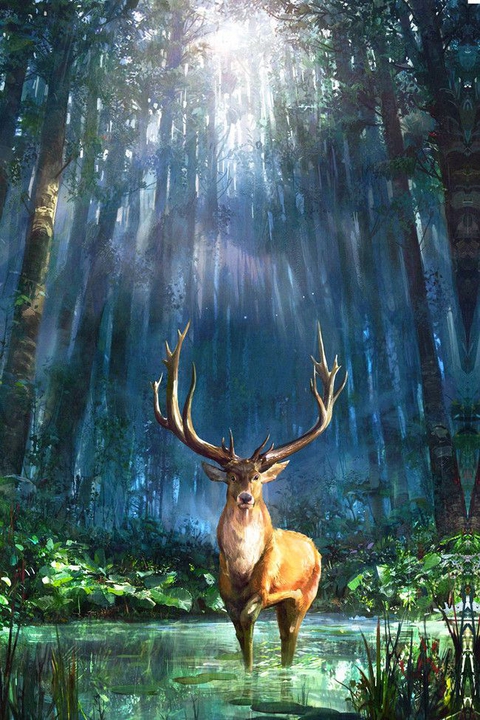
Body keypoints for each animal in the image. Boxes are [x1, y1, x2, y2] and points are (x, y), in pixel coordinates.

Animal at [152, 322, 347, 670]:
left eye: (255, 476)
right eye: (231, 476)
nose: (244, 498)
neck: (242, 568)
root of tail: (313, 547)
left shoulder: (263, 590)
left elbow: (251, 620)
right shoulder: (226, 596)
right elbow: (243, 643)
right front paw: (247, 673)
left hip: (306, 594)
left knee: (290, 640)